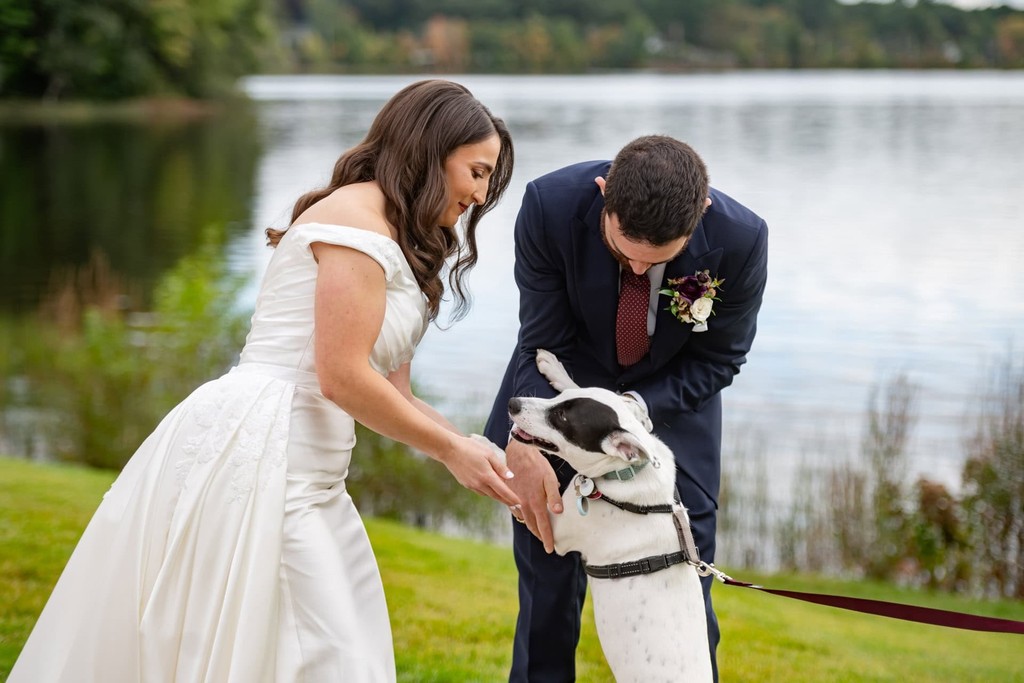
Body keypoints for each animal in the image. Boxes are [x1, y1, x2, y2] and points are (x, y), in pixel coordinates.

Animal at [503, 352, 712, 683]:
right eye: (558, 401)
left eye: (562, 419)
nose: (513, 403)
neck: (629, 470)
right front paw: (556, 369)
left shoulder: (556, 526)